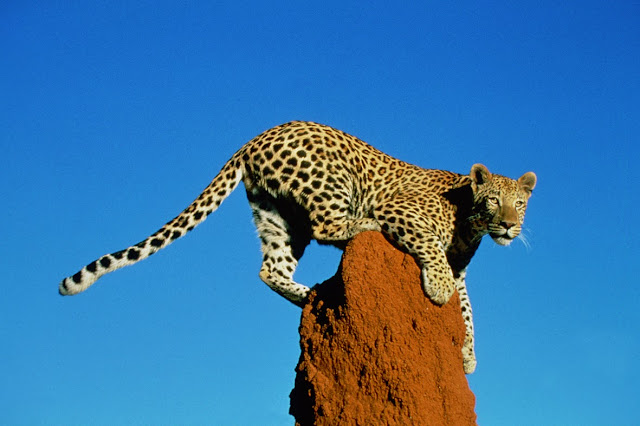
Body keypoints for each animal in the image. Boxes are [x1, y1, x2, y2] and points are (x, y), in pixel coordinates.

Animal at [61, 120, 540, 372]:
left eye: (520, 204)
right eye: (493, 200)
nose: (509, 226)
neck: (470, 225)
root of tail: (253, 138)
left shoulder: (462, 268)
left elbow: (469, 310)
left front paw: (468, 356)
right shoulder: (404, 211)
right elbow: (433, 256)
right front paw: (437, 291)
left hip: (277, 216)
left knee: (269, 268)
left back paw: (311, 296)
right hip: (329, 184)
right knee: (330, 226)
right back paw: (361, 228)